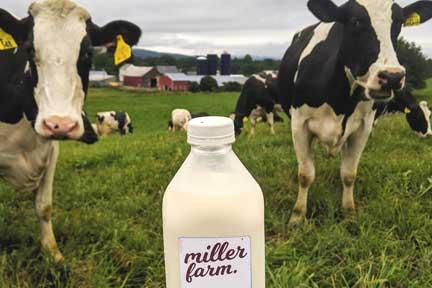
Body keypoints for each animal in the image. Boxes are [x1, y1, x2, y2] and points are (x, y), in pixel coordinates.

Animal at [0, 0, 142, 260]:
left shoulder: (50, 150)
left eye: (87, 52)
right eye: (29, 49)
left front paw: (53, 253)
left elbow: (44, 206)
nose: (60, 124)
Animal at [276, 0, 432, 225]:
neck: (340, 101)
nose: (392, 77)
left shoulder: (362, 128)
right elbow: (305, 174)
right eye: (355, 22)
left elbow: (349, 173)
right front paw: (297, 216)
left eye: (399, 24)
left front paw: (349, 212)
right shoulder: (299, 124)